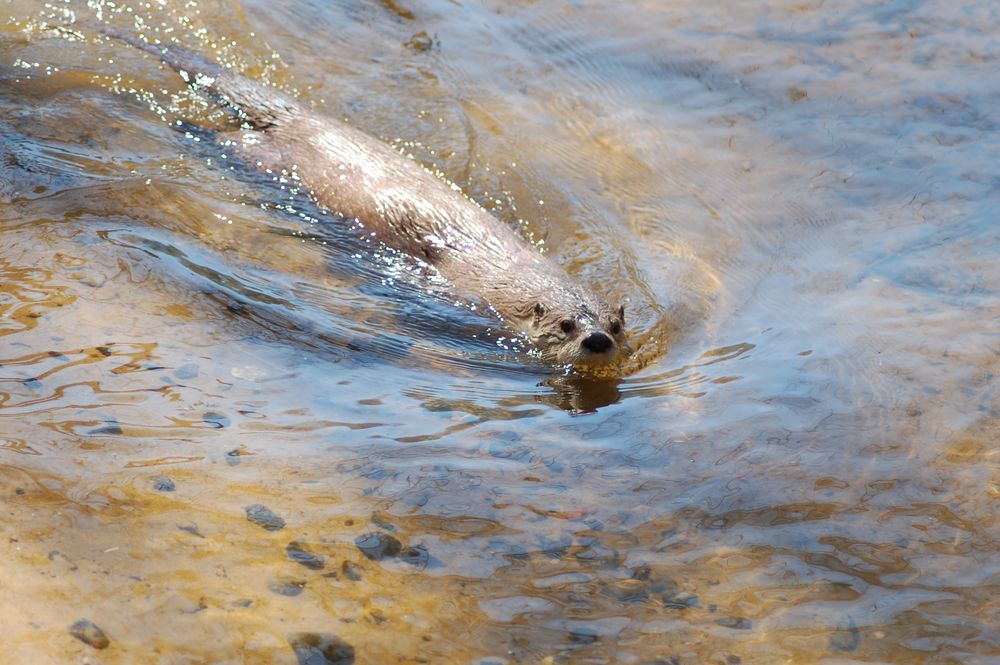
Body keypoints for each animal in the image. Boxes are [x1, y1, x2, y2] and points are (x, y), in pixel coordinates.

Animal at [105, 28, 628, 366]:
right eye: (566, 325)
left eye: (615, 324)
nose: (598, 341)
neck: (517, 280)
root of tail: (300, 119)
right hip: (261, 155)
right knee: (218, 135)